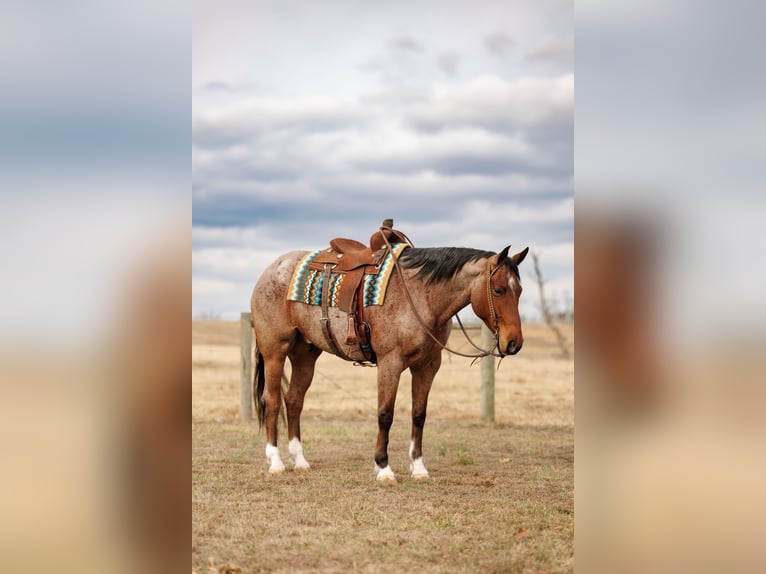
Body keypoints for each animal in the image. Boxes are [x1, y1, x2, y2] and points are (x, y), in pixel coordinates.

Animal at [250, 227, 528, 482]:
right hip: (275, 351)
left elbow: (419, 415)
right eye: (500, 290)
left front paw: (418, 467)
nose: (514, 343)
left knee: (294, 400)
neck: (419, 295)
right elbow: (385, 414)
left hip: (305, 354)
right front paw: (383, 467)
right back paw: (275, 462)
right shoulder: (390, 362)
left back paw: (300, 461)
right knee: (272, 400)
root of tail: (270, 270)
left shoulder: (428, 365)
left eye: (520, 291)